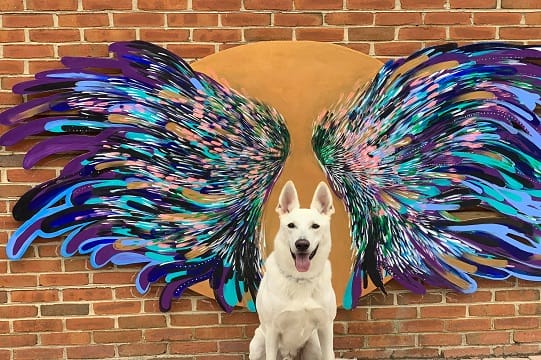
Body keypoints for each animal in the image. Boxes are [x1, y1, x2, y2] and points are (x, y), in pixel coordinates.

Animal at [250, 181, 336, 360]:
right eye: (291, 225)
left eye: (315, 226)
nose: (302, 244)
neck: (301, 278)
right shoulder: (272, 331)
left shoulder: (325, 326)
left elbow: (329, 354)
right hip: (258, 342)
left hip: (314, 344)